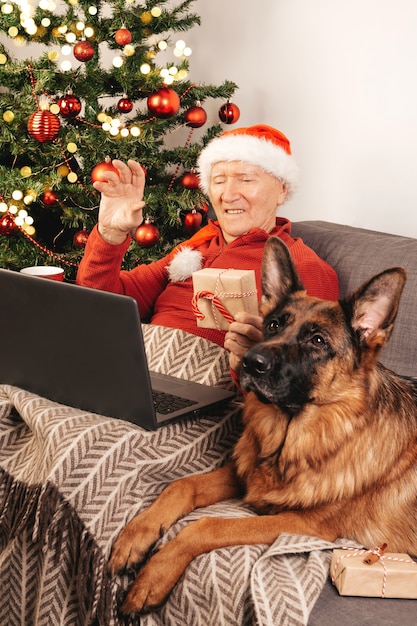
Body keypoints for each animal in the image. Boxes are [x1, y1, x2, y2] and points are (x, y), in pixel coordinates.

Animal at [108, 235, 416, 616]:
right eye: (273, 325)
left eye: (317, 341)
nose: (250, 363)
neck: (290, 438)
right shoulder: (244, 476)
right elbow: (181, 486)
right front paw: (136, 536)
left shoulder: (302, 524)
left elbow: (206, 526)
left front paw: (153, 575)